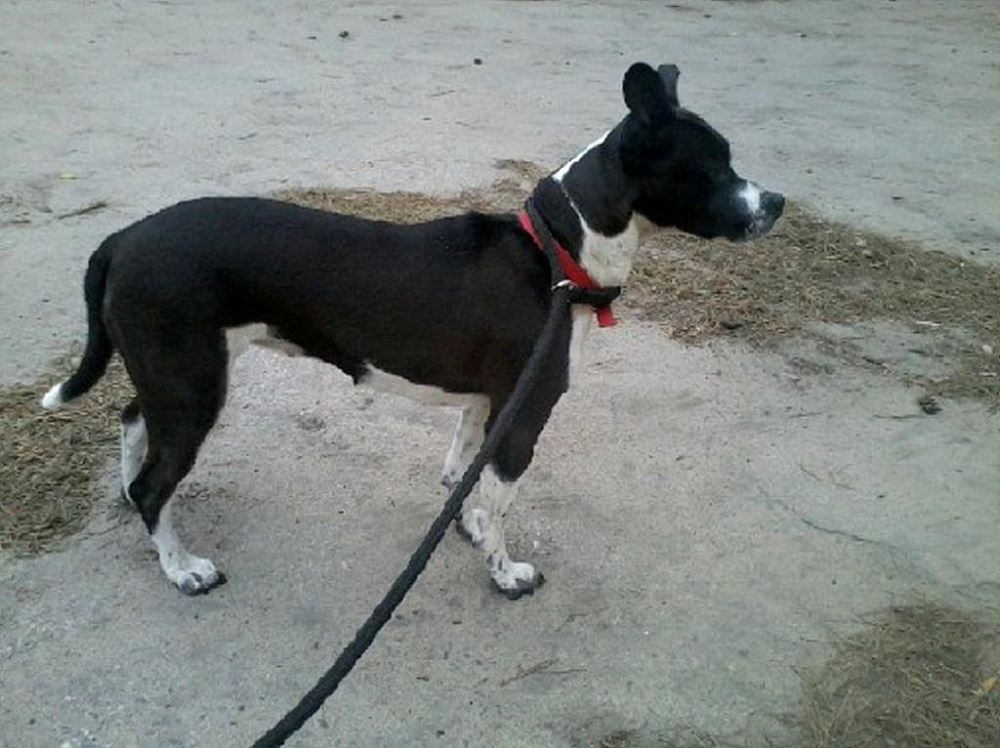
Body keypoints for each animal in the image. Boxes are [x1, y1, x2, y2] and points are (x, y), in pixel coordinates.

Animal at [41, 62, 783, 598]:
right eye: (716, 165)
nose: (776, 201)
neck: (556, 253)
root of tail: (123, 238)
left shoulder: (488, 402)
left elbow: (462, 475)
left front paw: (470, 526)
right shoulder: (526, 416)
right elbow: (503, 504)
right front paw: (504, 573)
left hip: (173, 373)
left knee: (134, 425)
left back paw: (138, 511)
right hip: (193, 383)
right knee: (156, 481)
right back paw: (181, 567)